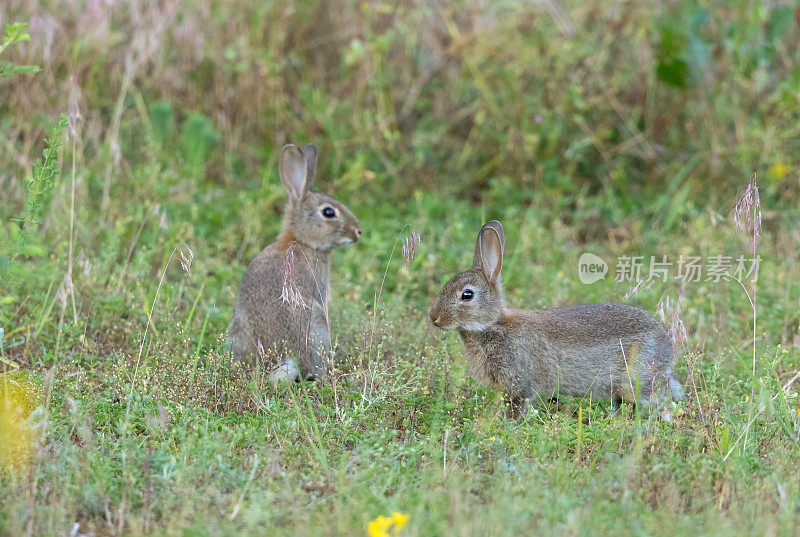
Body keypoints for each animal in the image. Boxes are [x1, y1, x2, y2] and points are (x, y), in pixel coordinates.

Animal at [432, 220, 680, 416]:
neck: (494, 324)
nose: (434, 318)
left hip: (638, 379)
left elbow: (517, 406)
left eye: (467, 295)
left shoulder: (520, 384)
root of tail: (666, 344)